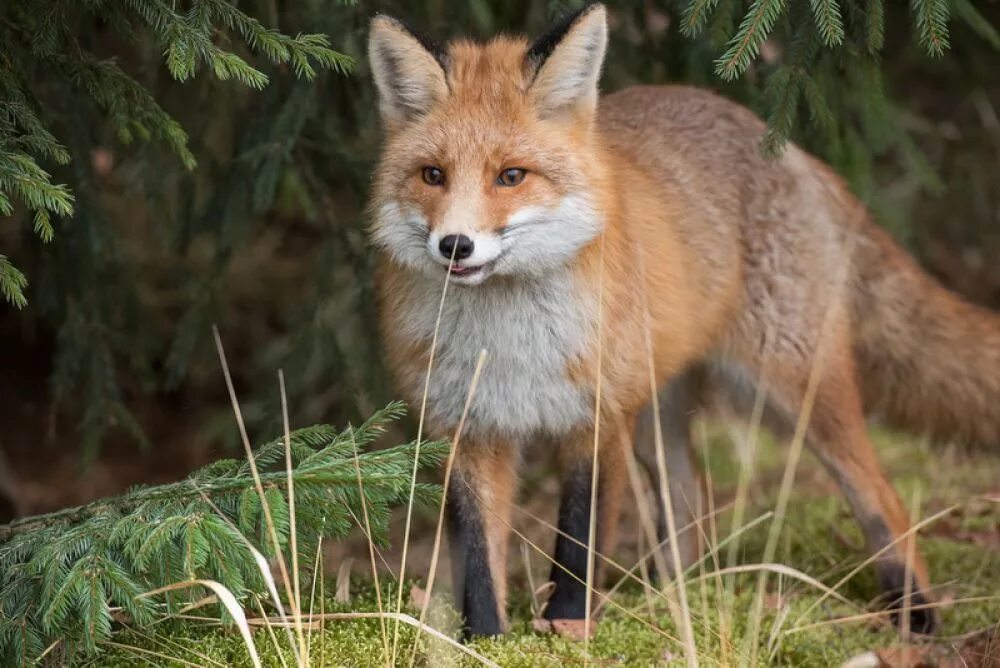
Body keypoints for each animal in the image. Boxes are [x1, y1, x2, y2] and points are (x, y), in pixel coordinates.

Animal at [368, 6, 1000, 640]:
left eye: (511, 176)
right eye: (432, 175)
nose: (455, 245)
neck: (507, 345)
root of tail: (787, 147)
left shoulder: (599, 419)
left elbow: (579, 541)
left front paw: (570, 630)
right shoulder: (464, 427)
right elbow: (476, 555)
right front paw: (484, 640)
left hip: (793, 394)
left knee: (881, 495)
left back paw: (914, 610)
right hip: (659, 414)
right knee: (691, 499)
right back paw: (667, 601)